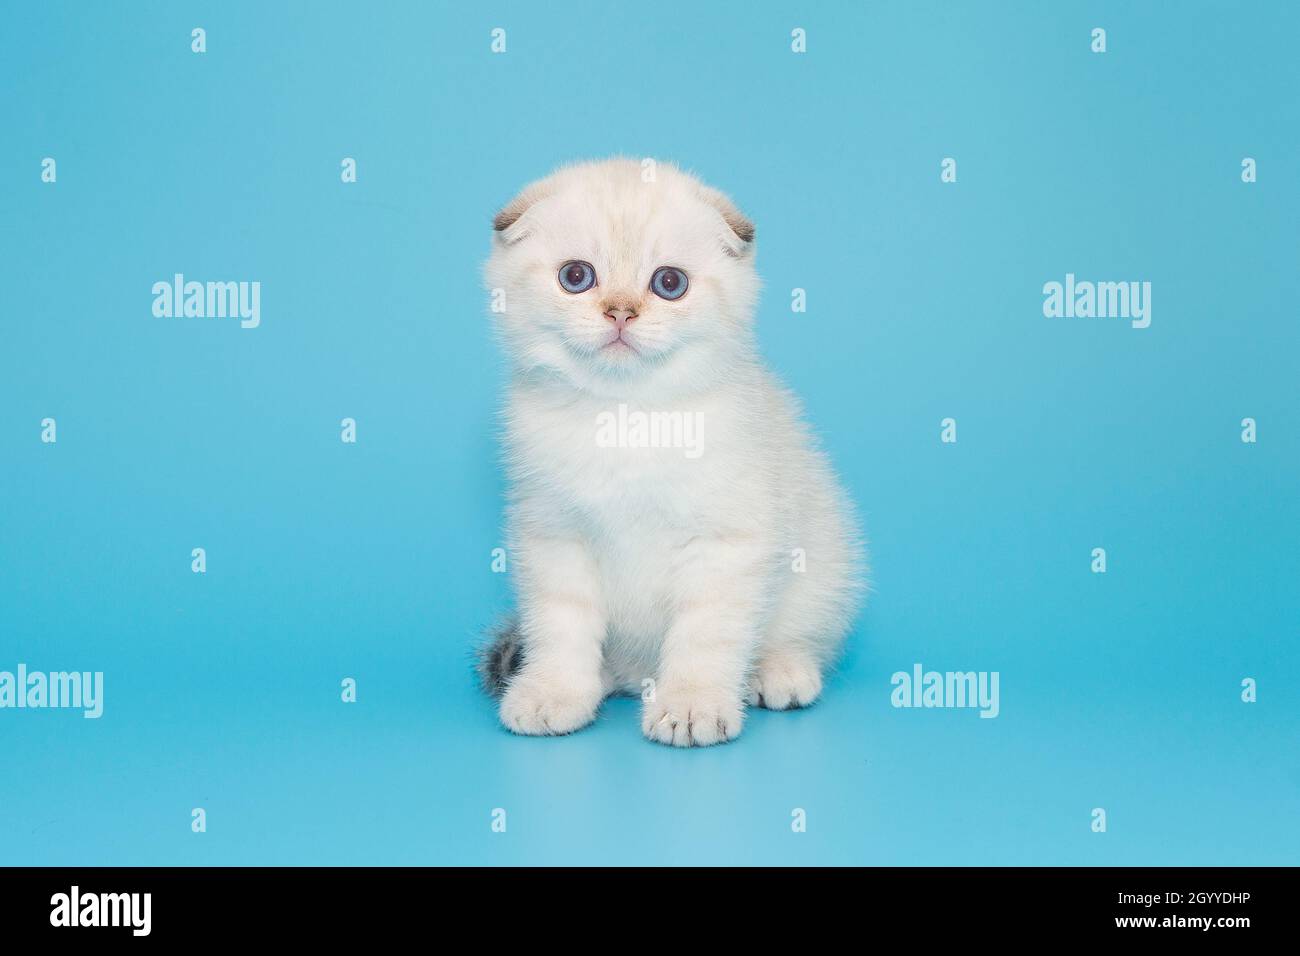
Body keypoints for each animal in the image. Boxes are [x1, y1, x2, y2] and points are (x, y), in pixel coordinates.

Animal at [478, 158, 863, 749]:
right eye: (576, 277)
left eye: (669, 284)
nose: (620, 313)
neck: (624, 421)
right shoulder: (554, 538)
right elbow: (561, 627)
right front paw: (553, 694)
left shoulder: (726, 543)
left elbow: (704, 636)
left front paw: (690, 706)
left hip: (825, 566)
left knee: (802, 633)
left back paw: (777, 672)